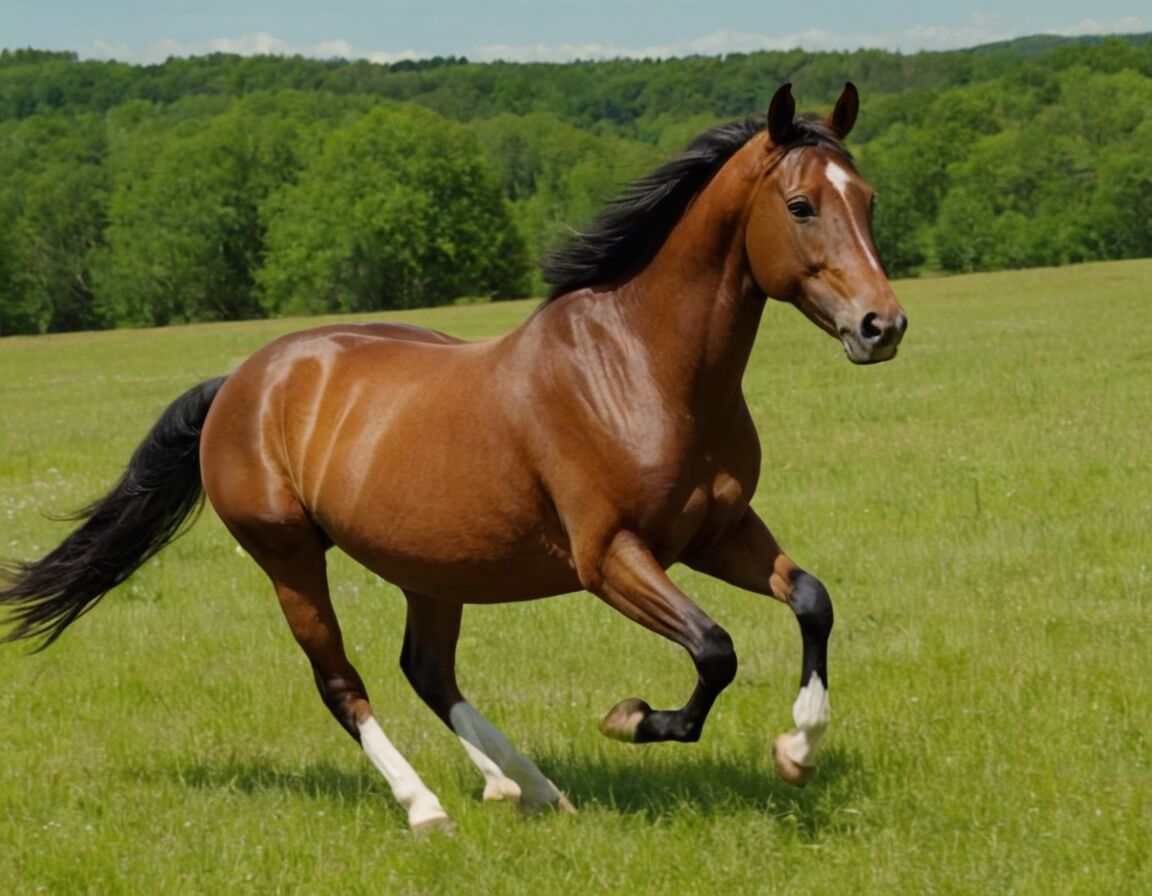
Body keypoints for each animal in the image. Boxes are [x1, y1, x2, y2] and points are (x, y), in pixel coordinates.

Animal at [0, 80, 898, 829]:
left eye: (869, 200)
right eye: (800, 205)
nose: (881, 326)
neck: (639, 367)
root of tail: (242, 382)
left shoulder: (719, 532)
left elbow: (811, 600)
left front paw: (798, 749)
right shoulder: (610, 556)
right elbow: (715, 649)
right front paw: (635, 719)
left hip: (431, 567)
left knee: (428, 671)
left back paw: (525, 786)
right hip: (289, 557)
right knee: (344, 682)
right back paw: (426, 806)